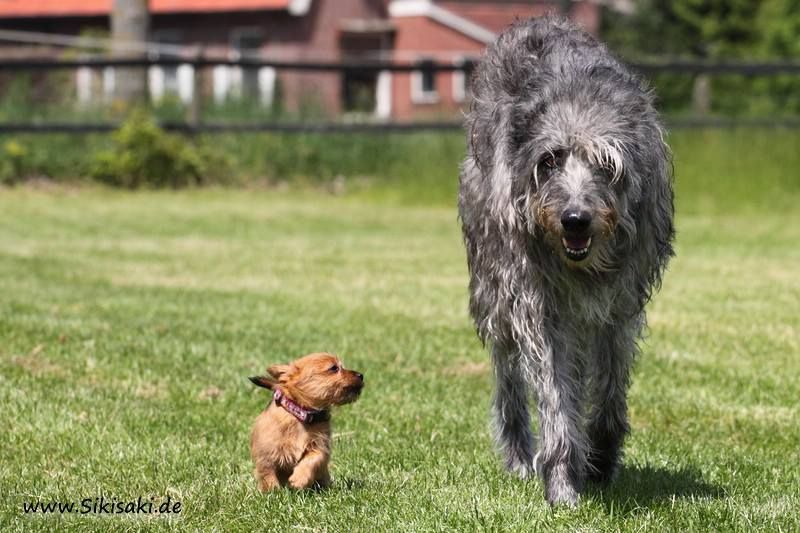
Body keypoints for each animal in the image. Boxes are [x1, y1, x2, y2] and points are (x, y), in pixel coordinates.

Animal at [248, 354, 364, 490]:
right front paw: (273, 490)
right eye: (334, 368)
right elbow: (267, 473)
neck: (301, 415)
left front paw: (299, 479)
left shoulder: (320, 445)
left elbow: (312, 459)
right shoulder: (266, 453)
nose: (361, 375)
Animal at [460, 16, 672, 504]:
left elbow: (610, 386)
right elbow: (555, 390)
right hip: (491, 278)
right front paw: (560, 481)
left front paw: (603, 456)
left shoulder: (619, 304)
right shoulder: (538, 302)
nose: (575, 219)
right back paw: (520, 454)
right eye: (550, 160)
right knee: (508, 372)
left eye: (607, 164)